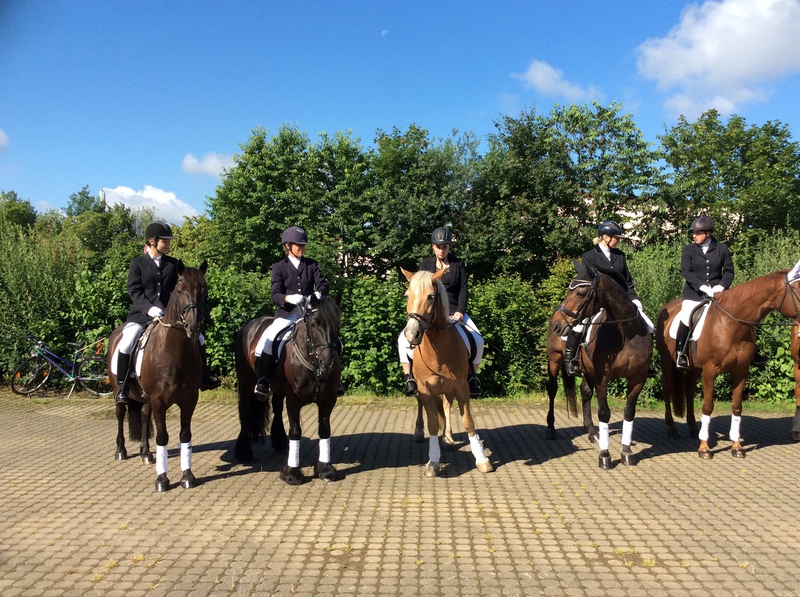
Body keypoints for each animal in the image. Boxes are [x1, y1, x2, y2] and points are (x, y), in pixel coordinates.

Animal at [108, 261, 207, 492]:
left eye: (204, 289)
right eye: (179, 290)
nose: (193, 327)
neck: (175, 352)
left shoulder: (189, 400)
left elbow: (185, 435)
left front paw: (187, 476)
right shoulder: (159, 402)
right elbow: (162, 437)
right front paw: (162, 479)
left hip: (145, 398)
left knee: (144, 416)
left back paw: (145, 453)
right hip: (119, 391)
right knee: (120, 414)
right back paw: (121, 451)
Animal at [233, 294, 342, 485]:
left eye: (337, 324)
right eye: (314, 323)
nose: (328, 363)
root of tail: (250, 325)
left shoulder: (327, 400)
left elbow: (325, 430)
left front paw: (325, 469)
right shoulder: (294, 400)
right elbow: (296, 432)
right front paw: (292, 473)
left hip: (277, 388)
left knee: (276, 408)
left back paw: (280, 442)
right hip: (246, 383)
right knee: (245, 412)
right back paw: (244, 451)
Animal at [401, 267, 493, 477]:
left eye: (431, 296)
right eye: (407, 295)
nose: (411, 334)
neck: (438, 352)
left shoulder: (461, 389)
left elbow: (467, 422)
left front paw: (482, 460)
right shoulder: (426, 390)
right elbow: (433, 424)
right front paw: (433, 462)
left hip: (448, 389)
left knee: (446, 406)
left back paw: (448, 438)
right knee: (423, 406)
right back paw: (420, 433)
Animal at [551, 262, 652, 469]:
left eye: (580, 293)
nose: (557, 324)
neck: (625, 334)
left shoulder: (638, 378)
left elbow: (629, 412)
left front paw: (626, 452)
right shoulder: (602, 378)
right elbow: (604, 413)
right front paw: (605, 456)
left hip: (587, 372)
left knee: (585, 391)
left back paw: (592, 433)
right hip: (554, 359)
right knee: (552, 390)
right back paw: (551, 429)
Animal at [656, 270, 800, 458]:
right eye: (797, 289)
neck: (731, 324)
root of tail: (667, 306)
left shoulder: (741, 371)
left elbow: (737, 406)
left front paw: (736, 446)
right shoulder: (710, 372)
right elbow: (708, 407)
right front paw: (704, 448)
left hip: (695, 368)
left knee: (689, 389)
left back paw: (693, 428)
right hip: (667, 362)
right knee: (667, 389)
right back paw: (672, 428)